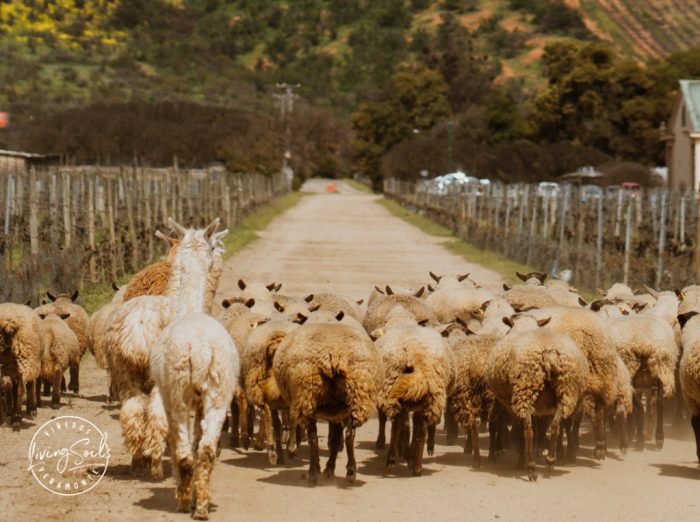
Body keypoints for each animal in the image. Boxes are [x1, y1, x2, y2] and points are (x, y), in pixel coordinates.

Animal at [274, 308, 382, 484]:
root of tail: (333, 355)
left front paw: (319, 467)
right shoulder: (336, 412)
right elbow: (335, 439)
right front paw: (328, 468)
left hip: (307, 396)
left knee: (314, 437)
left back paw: (313, 472)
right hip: (354, 399)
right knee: (348, 435)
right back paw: (349, 471)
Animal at [372, 304, 454, 476]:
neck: (402, 321)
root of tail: (416, 357)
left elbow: (402, 425)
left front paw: (403, 450)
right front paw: (407, 452)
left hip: (391, 389)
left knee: (398, 423)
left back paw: (392, 461)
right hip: (430, 395)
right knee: (421, 428)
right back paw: (416, 465)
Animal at [486, 312, 592, 480]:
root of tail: (549, 353)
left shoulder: (514, 404)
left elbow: (521, 431)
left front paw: (522, 459)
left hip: (525, 390)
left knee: (528, 430)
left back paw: (529, 467)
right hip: (565, 392)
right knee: (555, 426)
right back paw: (550, 462)